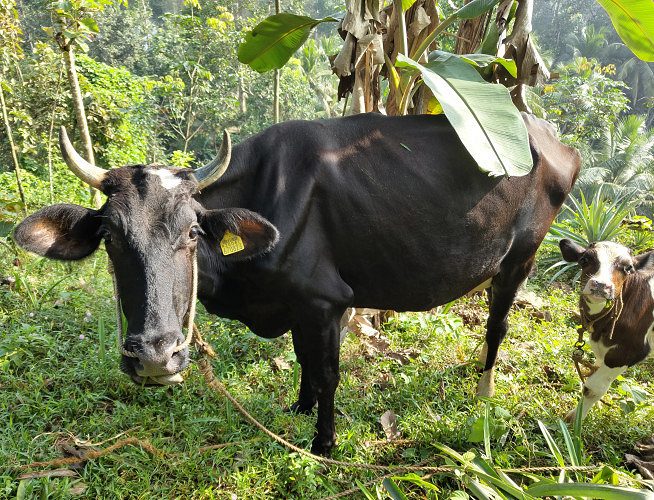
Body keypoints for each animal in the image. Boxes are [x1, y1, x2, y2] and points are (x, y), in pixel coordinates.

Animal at [14, 112, 580, 455]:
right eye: (109, 236)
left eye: (193, 232)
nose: (156, 356)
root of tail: (552, 139)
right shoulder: (300, 306)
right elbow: (304, 359)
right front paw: (299, 408)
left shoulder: (326, 301)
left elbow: (327, 372)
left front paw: (322, 444)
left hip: (522, 257)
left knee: (497, 324)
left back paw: (483, 390)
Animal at [559, 239, 654, 421]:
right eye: (584, 260)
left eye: (628, 268)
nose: (601, 285)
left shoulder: (628, 351)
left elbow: (593, 388)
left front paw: (575, 420)